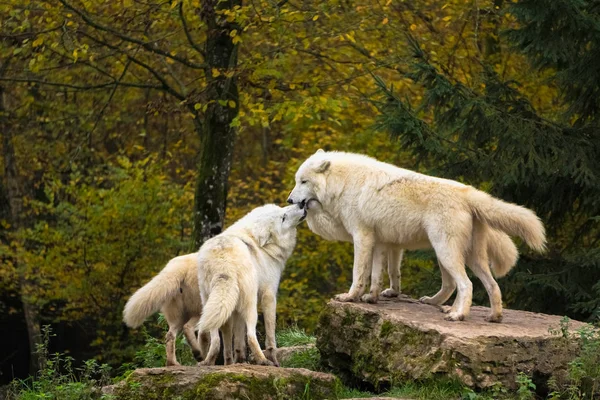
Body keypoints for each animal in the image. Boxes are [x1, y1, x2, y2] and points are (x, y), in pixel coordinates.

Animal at [308, 198, 516, 304]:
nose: (302, 203)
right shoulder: (390, 245)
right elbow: (390, 272)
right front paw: (387, 293)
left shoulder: (369, 240)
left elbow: (364, 273)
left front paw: (353, 296)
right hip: (454, 254)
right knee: (466, 284)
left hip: (444, 251)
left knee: (462, 283)